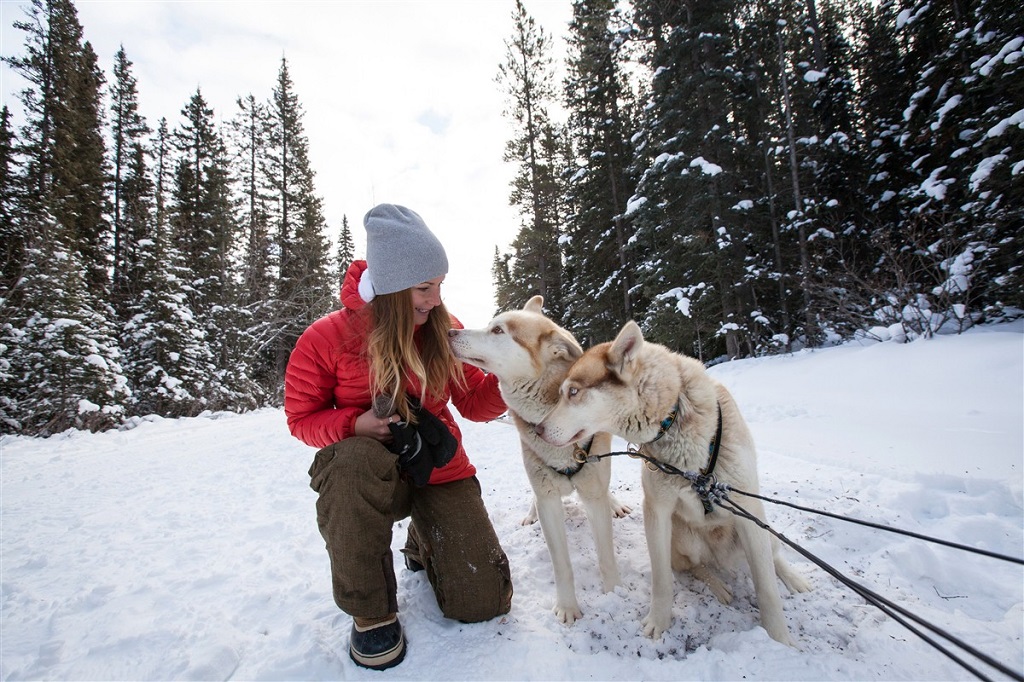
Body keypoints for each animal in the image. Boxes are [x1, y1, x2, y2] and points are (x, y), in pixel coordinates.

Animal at [450, 294, 626, 622]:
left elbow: (606, 554)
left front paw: (615, 595)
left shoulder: (593, 491)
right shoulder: (548, 500)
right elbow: (561, 564)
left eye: (498, 331)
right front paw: (568, 607)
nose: (450, 331)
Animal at [536, 319, 806, 643]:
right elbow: (662, 578)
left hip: (758, 528)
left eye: (573, 392)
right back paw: (718, 585)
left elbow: (766, 587)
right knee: (695, 566)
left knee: (771, 555)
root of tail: (721, 558)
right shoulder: (658, 510)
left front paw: (779, 639)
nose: (537, 429)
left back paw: (793, 579)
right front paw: (659, 622)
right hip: (686, 539)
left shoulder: (748, 509)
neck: (674, 416)